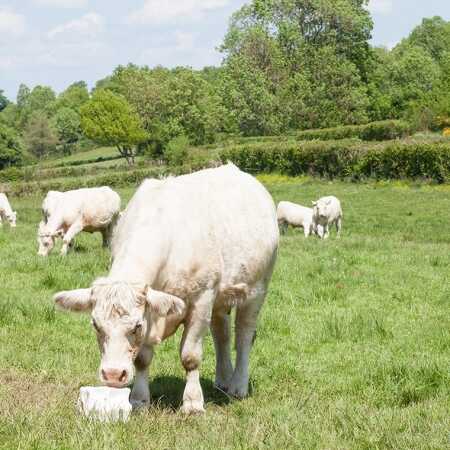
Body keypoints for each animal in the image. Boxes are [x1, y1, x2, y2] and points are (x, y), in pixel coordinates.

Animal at [52, 163, 278, 414]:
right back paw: (223, 379)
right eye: (95, 325)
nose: (112, 374)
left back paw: (238, 385)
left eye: (136, 326)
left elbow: (190, 356)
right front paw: (139, 400)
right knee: (222, 335)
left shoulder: (201, 299)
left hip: (257, 288)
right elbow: (142, 358)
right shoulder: (152, 309)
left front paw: (192, 403)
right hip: (221, 298)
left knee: (244, 335)